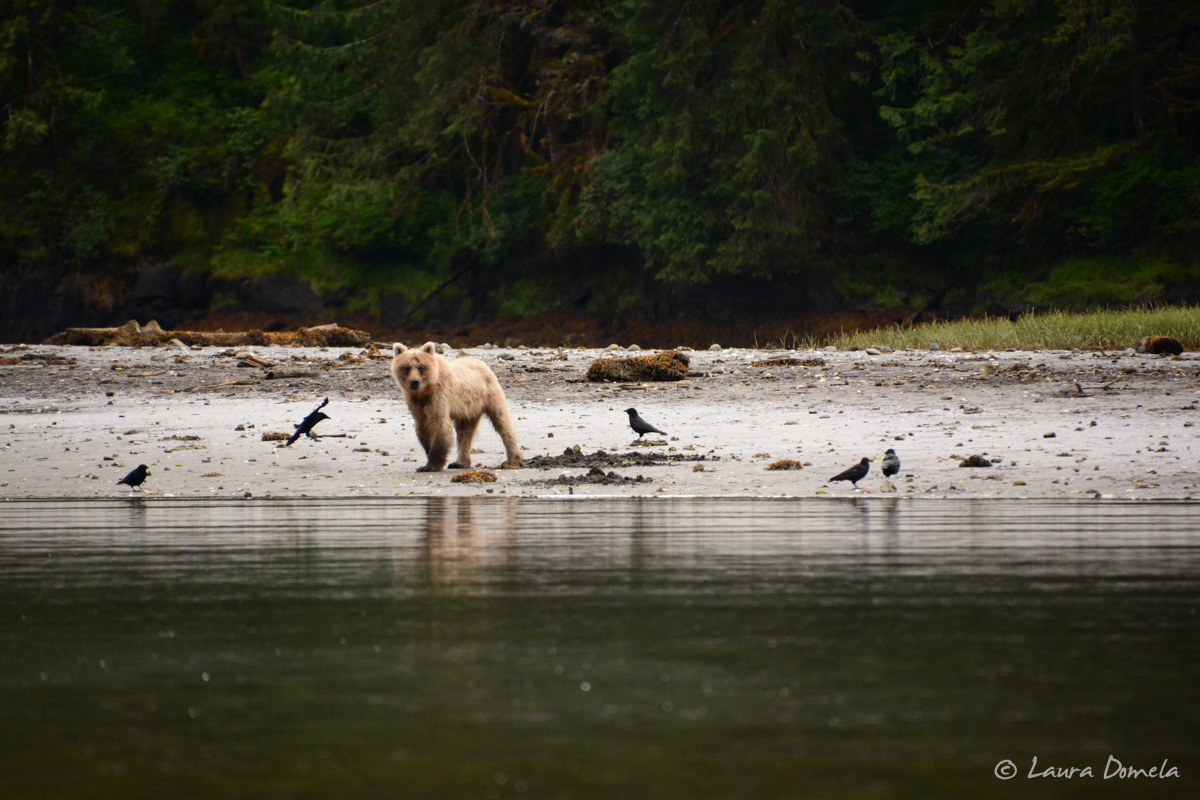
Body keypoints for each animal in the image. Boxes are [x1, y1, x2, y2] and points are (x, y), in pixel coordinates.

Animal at [388, 343, 520, 470]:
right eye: (407, 367)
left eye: (421, 367)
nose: (414, 382)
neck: (425, 392)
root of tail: (482, 363)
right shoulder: (415, 402)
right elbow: (423, 427)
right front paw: (427, 460)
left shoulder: (439, 394)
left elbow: (440, 424)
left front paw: (431, 465)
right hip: (468, 410)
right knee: (465, 433)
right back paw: (460, 463)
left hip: (490, 394)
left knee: (502, 421)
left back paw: (514, 460)